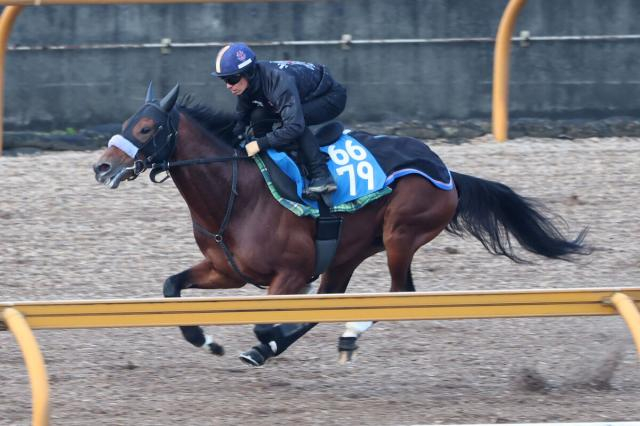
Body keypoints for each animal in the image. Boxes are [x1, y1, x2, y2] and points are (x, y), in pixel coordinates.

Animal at [91, 84, 592, 366]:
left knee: (399, 293)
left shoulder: (290, 276)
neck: (237, 192)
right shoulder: (227, 271)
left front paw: (265, 341)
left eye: (146, 128)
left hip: (400, 233)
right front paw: (208, 341)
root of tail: (446, 169)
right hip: (348, 252)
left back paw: (342, 335)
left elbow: (266, 323)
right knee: (338, 296)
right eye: (127, 122)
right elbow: (171, 286)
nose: (101, 166)